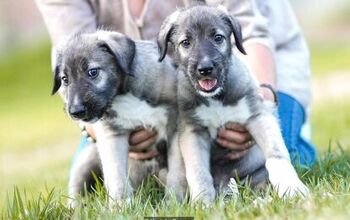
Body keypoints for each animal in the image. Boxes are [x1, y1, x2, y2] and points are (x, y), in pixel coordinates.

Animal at [53, 30, 179, 205]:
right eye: (65, 79)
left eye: (93, 72)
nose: (76, 111)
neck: (122, 94)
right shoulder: (112, 135)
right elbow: (116, 173)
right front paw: (122, 205)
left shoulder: (175, 124)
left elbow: (179, 169)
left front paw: (175, 199)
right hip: (85, 162)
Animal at [157, 3, 308, 203]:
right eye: (186, 42)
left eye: (218, 38)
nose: (205, 69)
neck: (216, 98)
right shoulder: (192, 132)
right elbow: (198, 173)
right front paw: (202, 203)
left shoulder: (258, 116)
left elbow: (276, 155)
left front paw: (292, 188)